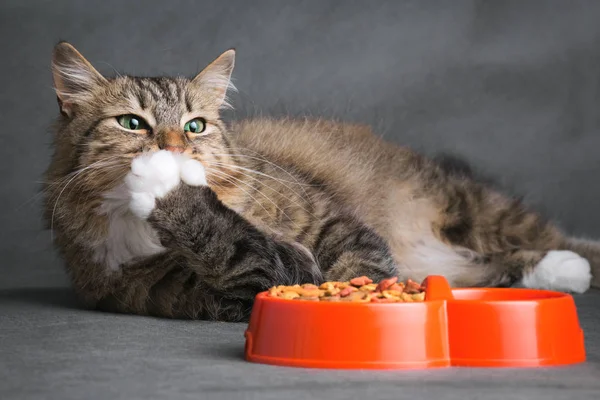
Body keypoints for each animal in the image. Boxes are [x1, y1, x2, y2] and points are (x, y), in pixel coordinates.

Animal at [44, 40, 596, 322]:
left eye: (195, 126)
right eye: (131, 123)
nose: (174, 148)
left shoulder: (329, 221)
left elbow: (357, 262)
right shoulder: (229, 289)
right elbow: (236, 242)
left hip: (471, 207)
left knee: (543, 236)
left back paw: (576, 263)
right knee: (494, 268)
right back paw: (563, 273)